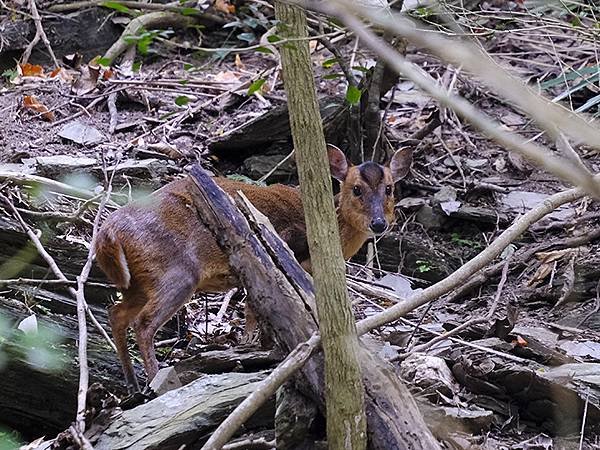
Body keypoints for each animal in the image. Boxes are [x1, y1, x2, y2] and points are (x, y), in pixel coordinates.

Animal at [96, 145, 412, 390]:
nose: (379, 223)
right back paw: (155, 381)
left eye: (389, 189)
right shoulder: (280, 244)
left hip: (138, 281)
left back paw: (132, 382)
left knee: (116, 313)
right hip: (176, 273)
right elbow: (256, 305)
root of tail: (107, 231)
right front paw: (256, 344)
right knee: (143, 324)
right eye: (356, 189)